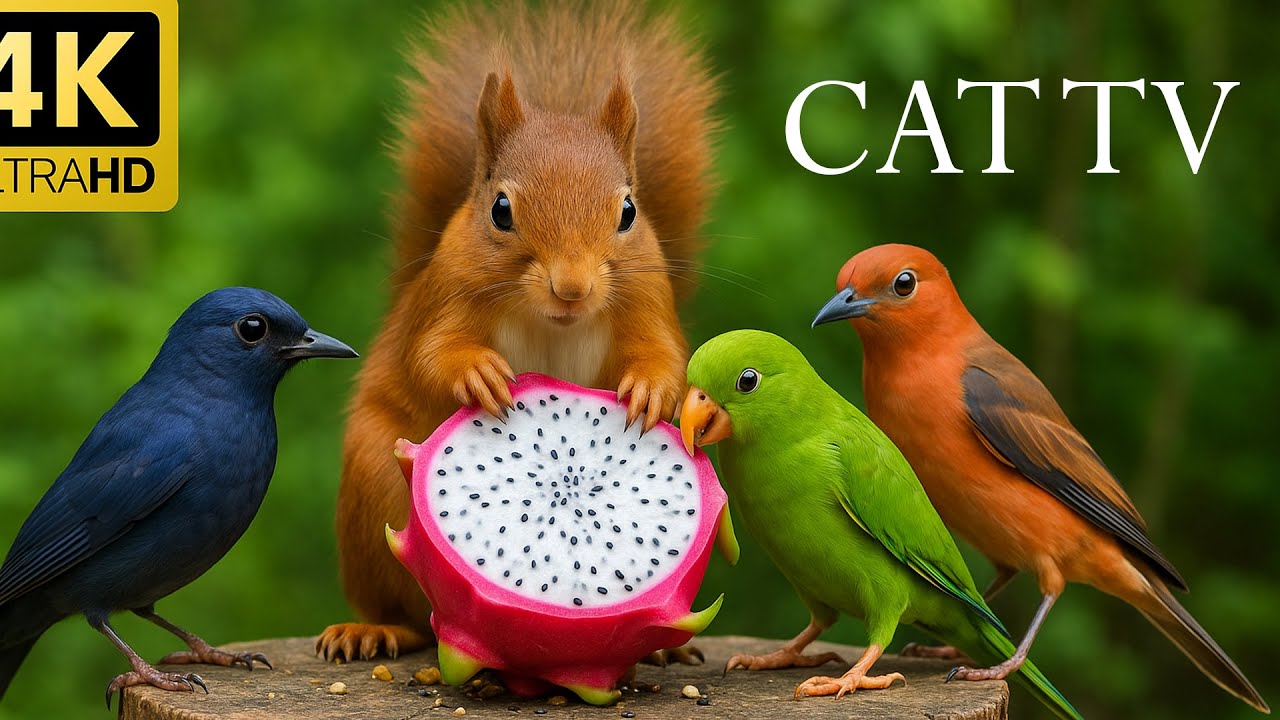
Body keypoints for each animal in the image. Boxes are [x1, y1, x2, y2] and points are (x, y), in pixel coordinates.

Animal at [316, 0, 718, 662]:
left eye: (628, 211)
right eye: (500, 210)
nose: (571, 288)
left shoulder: (647, 301)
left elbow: (663, 353)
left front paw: (652, 389)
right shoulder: (446, 296)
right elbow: (430, 353)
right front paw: (475, 372)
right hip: (371, 491)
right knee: (398, 605)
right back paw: (371, 629)